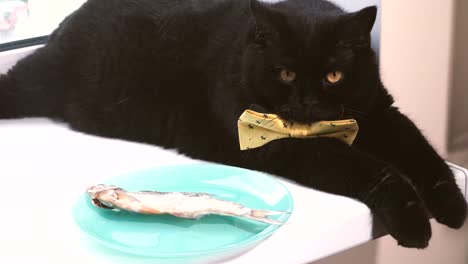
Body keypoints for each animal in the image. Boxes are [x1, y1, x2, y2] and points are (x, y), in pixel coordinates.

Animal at [0, 0, 466, 249]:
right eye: (285, 74)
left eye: (334, 75)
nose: (307, 102)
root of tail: (65, 25)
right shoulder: (286, 145)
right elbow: (375, 169)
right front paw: (413, 222)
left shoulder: (381, 114)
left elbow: (424, 156)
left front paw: (452, 206)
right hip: (37, 80)